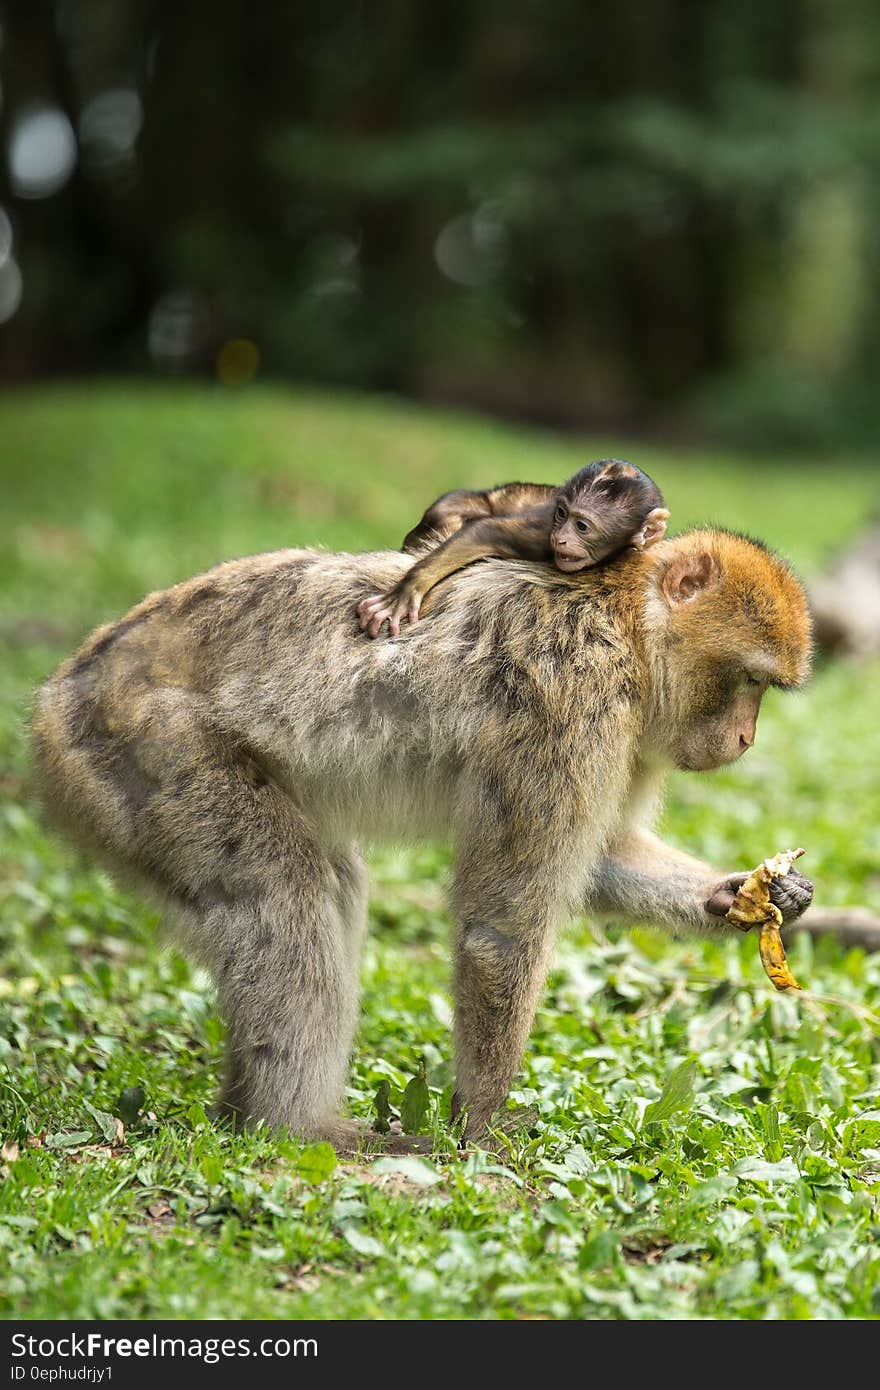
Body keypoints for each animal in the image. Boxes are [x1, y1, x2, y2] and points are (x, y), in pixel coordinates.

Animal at [34, 525, 817, 1145]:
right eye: (749, 681)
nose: (745, 739)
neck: (625, 619)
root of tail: (57, 697)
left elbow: (601, 860)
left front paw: (745, 895)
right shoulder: (574, 696)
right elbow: (503, 925)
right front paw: (484, 1126)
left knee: (327, 885)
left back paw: (244, 1112)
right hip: (146, 753)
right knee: (285, 891)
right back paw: (295, 1127)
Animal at [355, 458, 664, 636]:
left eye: (582, 526)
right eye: (561, 514)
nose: (561, 538)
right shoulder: (542, 532)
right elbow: (486, 531)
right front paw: (406, 591)